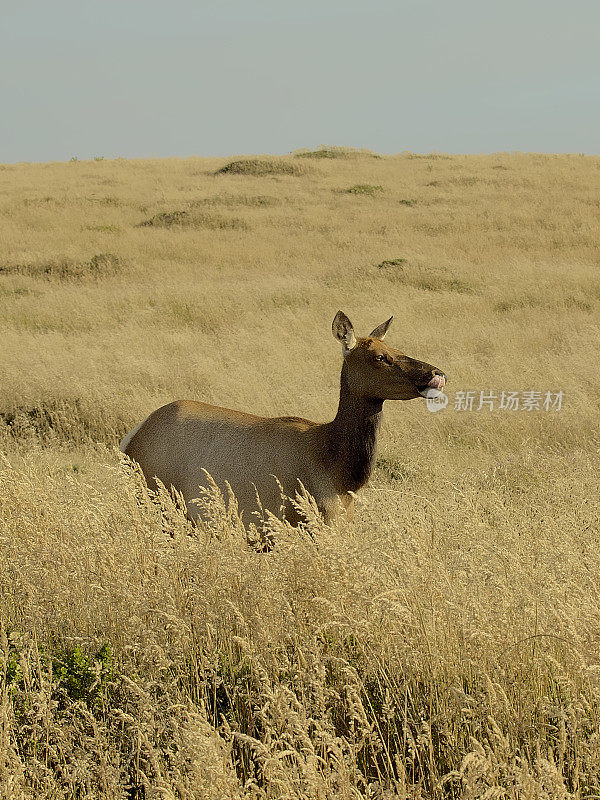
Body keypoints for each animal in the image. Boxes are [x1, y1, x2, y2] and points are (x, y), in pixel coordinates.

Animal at [119, 310, 446, 524]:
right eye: (379, 356)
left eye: (395, 347)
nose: (437, 373)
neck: (340, 472)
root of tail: (129, 440)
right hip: (158, 502)